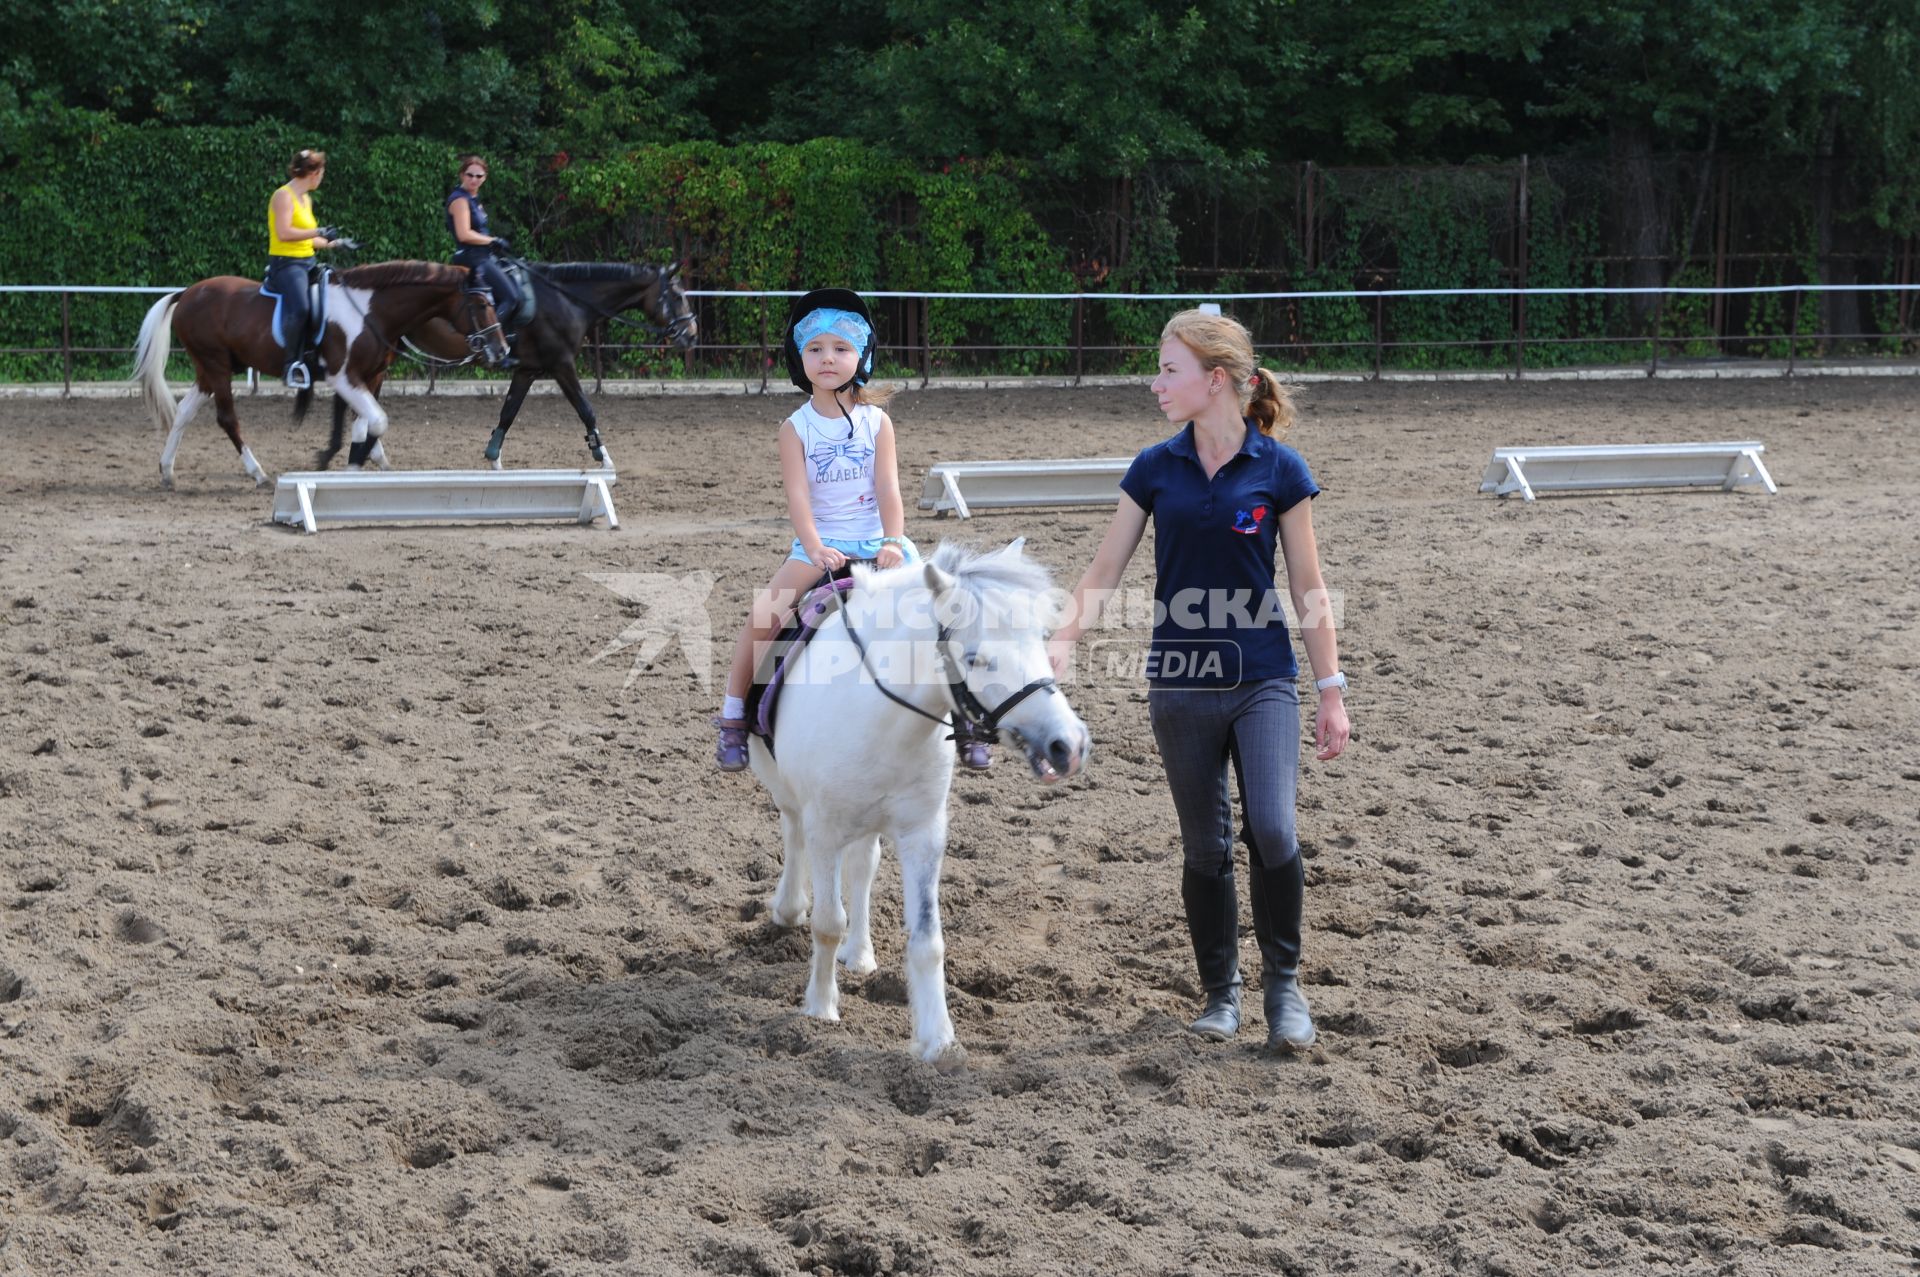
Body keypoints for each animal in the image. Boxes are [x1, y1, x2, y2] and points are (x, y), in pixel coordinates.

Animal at [136, 257, 510, 483]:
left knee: (184, 412)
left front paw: (375, 462)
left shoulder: (371, 377)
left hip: (210, 368)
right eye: (480, 304)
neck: (371, 311)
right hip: (217, 367)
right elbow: (376, 421)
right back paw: (257, 472)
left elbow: (366, 423)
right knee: (227, 419)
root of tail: (188, 293)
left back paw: (167, 470)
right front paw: (352, 466)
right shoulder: (343, 377)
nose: (502, 350)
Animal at [320, 259, 698, 472]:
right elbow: (586, 409)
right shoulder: (562, 365)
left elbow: (509, 411)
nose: (692, 334)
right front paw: (603, 457)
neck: (565, 299)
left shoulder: (527, 370)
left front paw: (493, 456)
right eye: (678, 295)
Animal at [748, 541, 1090, 1067]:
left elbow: (927, 940)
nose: (1066, 744)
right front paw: (820, 1008)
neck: (880, 712)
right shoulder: (825, 829)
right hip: (789, 792)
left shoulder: (924, 833)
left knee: (862, 869)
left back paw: (860, 953)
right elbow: (826, 922)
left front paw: (937, 1039)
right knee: (793, 832)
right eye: (975, 658)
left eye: (1041, 639)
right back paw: (789, 908)